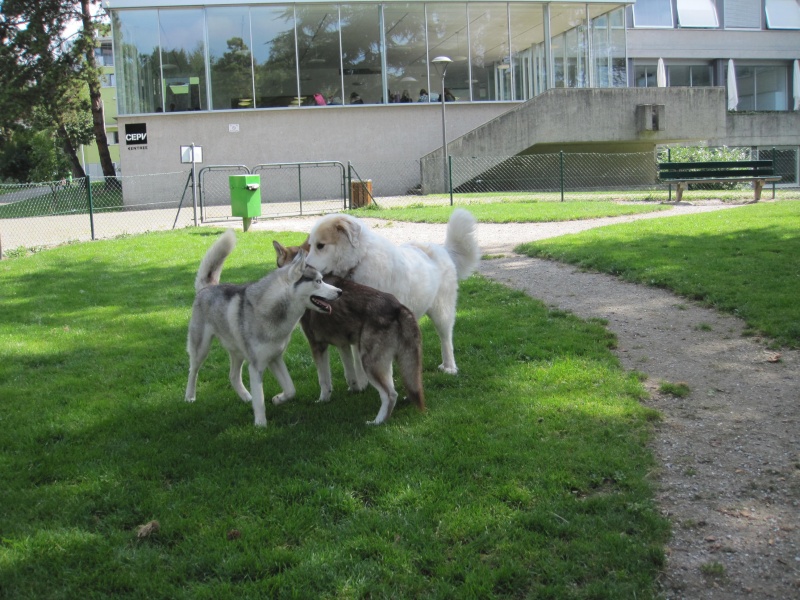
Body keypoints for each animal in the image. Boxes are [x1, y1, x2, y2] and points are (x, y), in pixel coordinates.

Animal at [306, 210, 482, 376]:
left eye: (320, 246)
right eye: (311, 245)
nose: (305, 268)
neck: (359, 261)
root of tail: (442, 250)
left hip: (442, 312)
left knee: (446, 339)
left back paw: (449, 367)